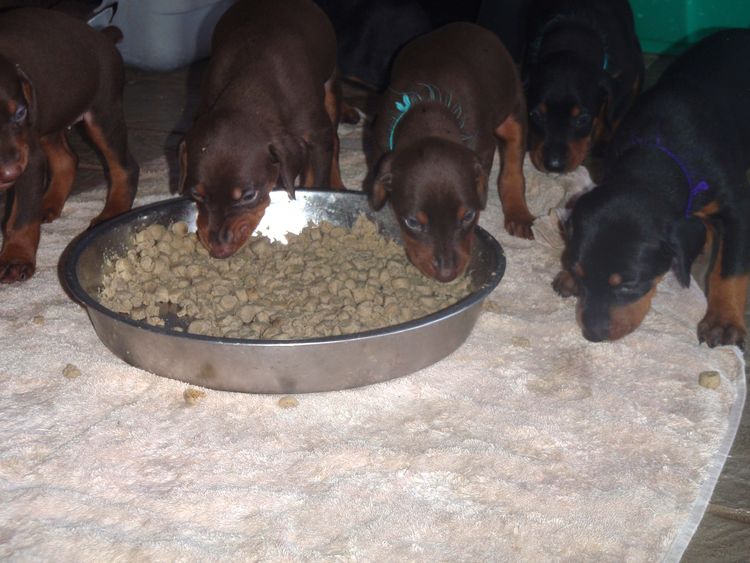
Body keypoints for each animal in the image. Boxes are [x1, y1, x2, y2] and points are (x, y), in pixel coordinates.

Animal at [0, 7, 140, 282]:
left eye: (20, 112)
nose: (11, 172)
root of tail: (101, 35)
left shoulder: (29, 158)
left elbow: (22, 218)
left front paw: (16, 258)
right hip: (51, 118)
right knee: (67, 159)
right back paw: (48, 203)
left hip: (102, 113)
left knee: (125, 167)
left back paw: (112, 215)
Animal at [181, 0, 348, 260]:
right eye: (197, 194)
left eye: (249, 196)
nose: (218, 251)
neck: (251, 84)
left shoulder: (317, 137)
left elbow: (316, 179)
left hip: (331, 84)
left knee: (336, 137)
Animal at [370, 21, 536, 282]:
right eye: (412, 222)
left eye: (468, 216)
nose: (447, 274)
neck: (429, 111)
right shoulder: (379, 146)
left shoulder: (483, 149)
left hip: (514, 105)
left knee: (512, 166)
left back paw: (517, 212)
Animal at [556, 30, 750, 350]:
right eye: (579, 273)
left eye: (629, 284)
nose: (592, 335)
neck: (657, 149)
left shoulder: (735, 209)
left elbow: (729, 270)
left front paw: (723, 321)